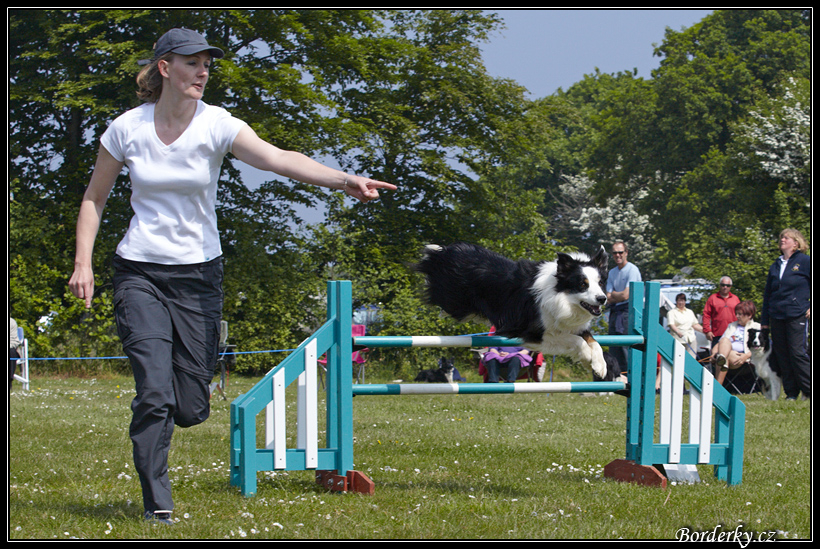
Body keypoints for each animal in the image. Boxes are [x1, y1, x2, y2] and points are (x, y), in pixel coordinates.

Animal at [416, 242, 608, 378]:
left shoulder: (569, 324)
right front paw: (587, 357)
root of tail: (446, 251)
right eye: (582, 284)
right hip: (456, 300)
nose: (602, 298)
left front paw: (599, 366)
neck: (561, 296)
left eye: (600, 283)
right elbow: (577, 341)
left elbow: (593, 341)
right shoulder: (533, 333)